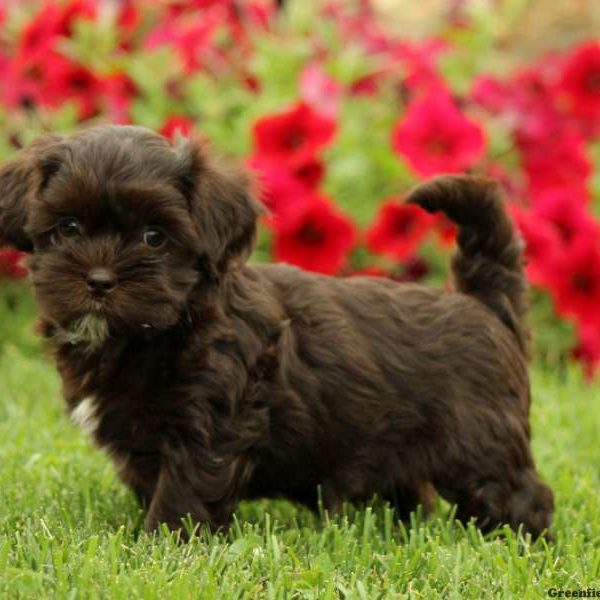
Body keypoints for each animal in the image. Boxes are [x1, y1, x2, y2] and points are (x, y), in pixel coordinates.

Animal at [0, 126, 552, 540]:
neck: (159, 329)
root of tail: (482, 302)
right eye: (68, 229)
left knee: (522, 495)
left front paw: (162, 547)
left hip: (479, 443)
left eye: (154, 237)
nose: (99, 280)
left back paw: (518, 542)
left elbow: (183, 494)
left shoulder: (208, 426)